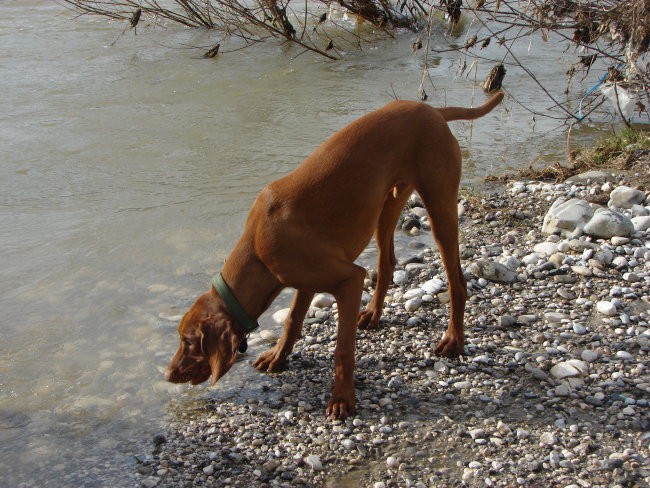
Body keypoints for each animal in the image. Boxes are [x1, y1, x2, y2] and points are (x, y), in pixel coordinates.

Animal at [165, 92, 504, 420]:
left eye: (187, 341)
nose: (168, 375)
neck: (258, 250)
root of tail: (433, 111)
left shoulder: (348, 279)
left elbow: (342, 350)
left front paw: (342, 399)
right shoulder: (303, 279)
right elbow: (292, 321)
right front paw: (277, 357)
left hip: (440, 207)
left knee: (457, 280)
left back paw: (454, 339)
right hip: (386, 208)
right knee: (387, 263)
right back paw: (373, 313)